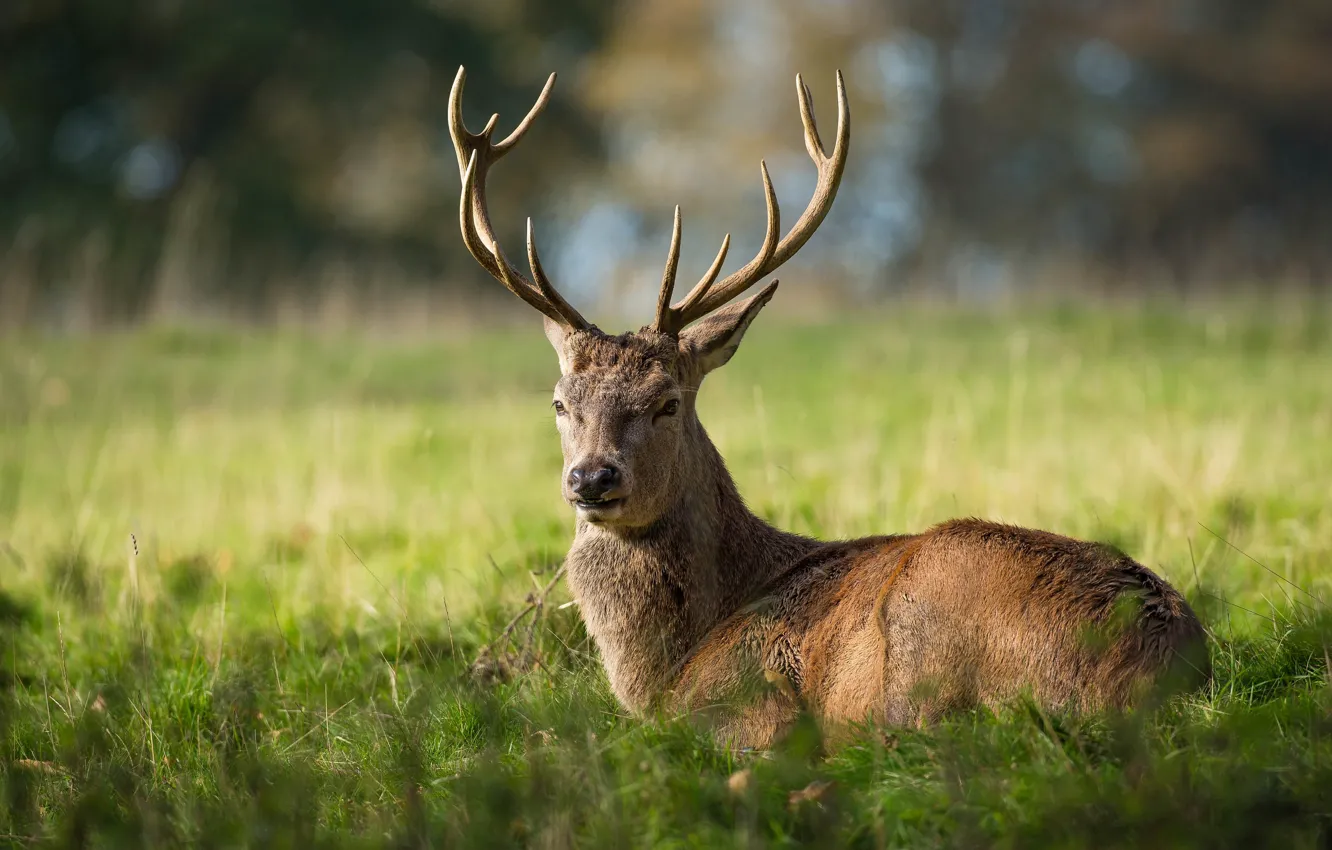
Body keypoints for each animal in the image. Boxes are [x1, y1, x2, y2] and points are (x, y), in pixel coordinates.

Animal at [447, 66, 1209, 751]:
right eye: (559, 402)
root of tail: (1171, 662)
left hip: (922, 641)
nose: (591, 478)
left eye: (666, 402)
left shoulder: (747, 700)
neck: (671, 665)